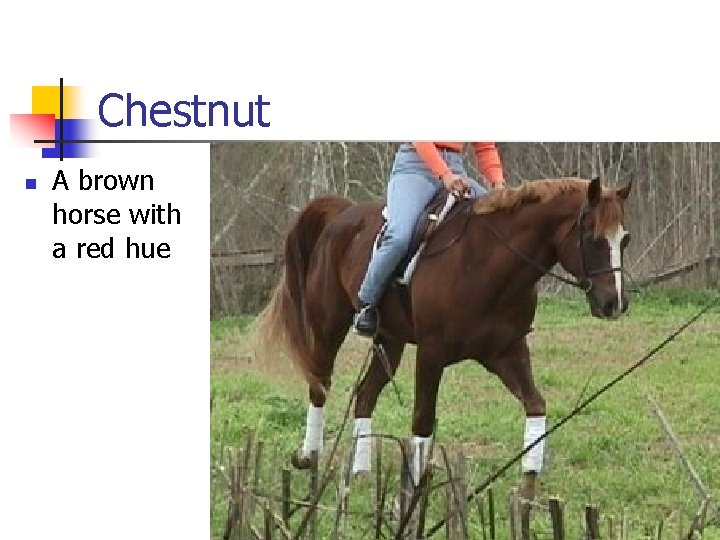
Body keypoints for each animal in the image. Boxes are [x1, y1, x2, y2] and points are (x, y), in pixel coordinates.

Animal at [253, 176, 632, 501]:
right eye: (594, 239)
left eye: (625, 239)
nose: (614, 304)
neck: (485, 262)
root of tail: (344, 212)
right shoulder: (432, 353)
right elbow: (422, 421)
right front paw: (413, 497)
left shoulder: (507, 351)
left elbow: (536, 406)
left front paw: (527, 487)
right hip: (328, 324)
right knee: (319, 386)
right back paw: (309, 457)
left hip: (390, 339)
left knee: (365, 395)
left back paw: (360, 475)